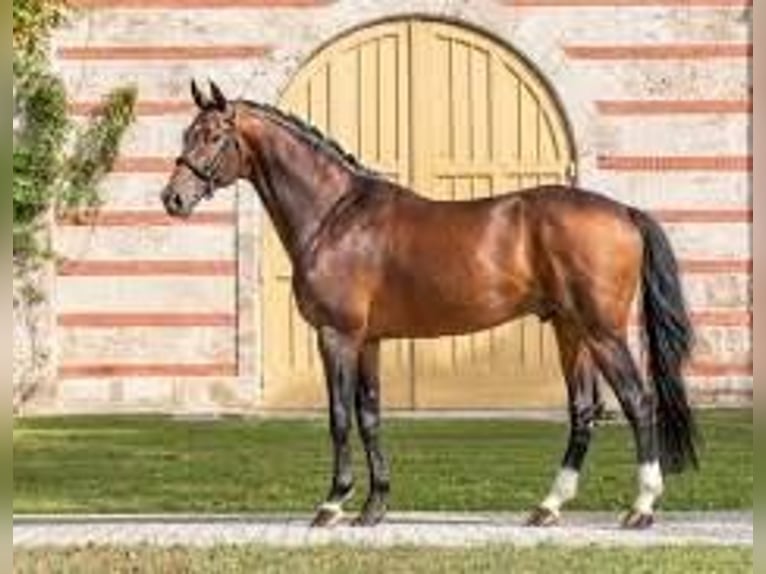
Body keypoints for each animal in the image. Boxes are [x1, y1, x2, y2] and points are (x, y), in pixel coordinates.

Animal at [161, 80, 698, 529]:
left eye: (212, 135)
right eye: (188, 132)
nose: (173, 198)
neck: (334, 214)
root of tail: (624, 212)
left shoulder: (337, 335)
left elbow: (339, 417)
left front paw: (332, 504)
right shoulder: (369, 341)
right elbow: (370, 415)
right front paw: (374, 507)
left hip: (603, 332)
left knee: (638, 401)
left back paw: (641, 507)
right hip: (570, 330)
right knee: (583, 411)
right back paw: (547, 507)